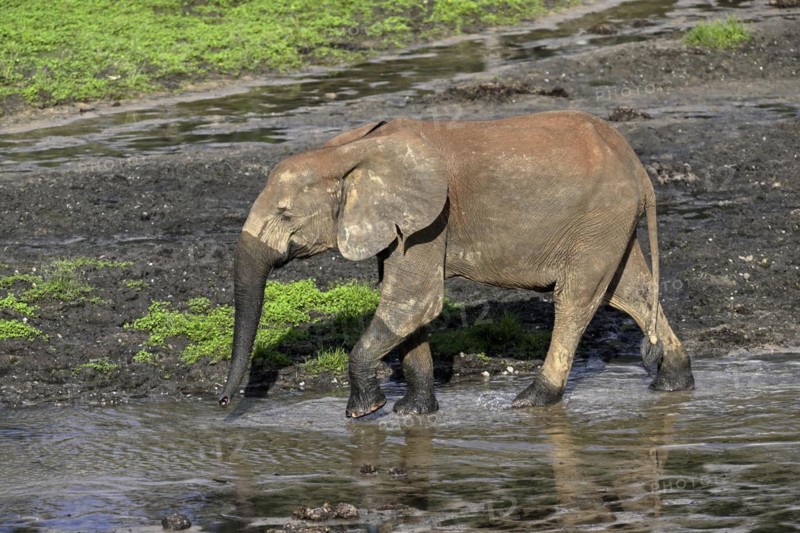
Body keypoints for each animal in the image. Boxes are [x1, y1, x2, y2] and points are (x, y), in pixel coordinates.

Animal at [218, 111, 695, 417]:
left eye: (285, 215)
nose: (223, 402)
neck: (348, 151)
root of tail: (637, 165)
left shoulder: (431, 220)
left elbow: (412, 302)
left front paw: (364, 412)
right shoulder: (404, 224)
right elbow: (410, 310)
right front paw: (414, 412)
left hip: (599, 217)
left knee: (576, 301)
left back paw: (532, 400)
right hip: (608, 222)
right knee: (630, 293)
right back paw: (674, 382)